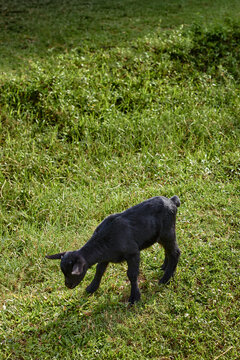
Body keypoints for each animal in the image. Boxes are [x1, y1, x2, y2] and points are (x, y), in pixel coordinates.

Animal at [46, 195, 181, 302]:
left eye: (72, 273)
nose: (68, 285)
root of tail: (172, 201)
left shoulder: (133, 253)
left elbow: (132, 275)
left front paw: (135, 297)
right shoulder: (105, 257)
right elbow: (99, 271)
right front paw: (91, 288)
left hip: (168, 231)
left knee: (175, 252)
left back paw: (165, 279)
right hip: (161, 236)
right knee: (168, 250)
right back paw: (165, 268)